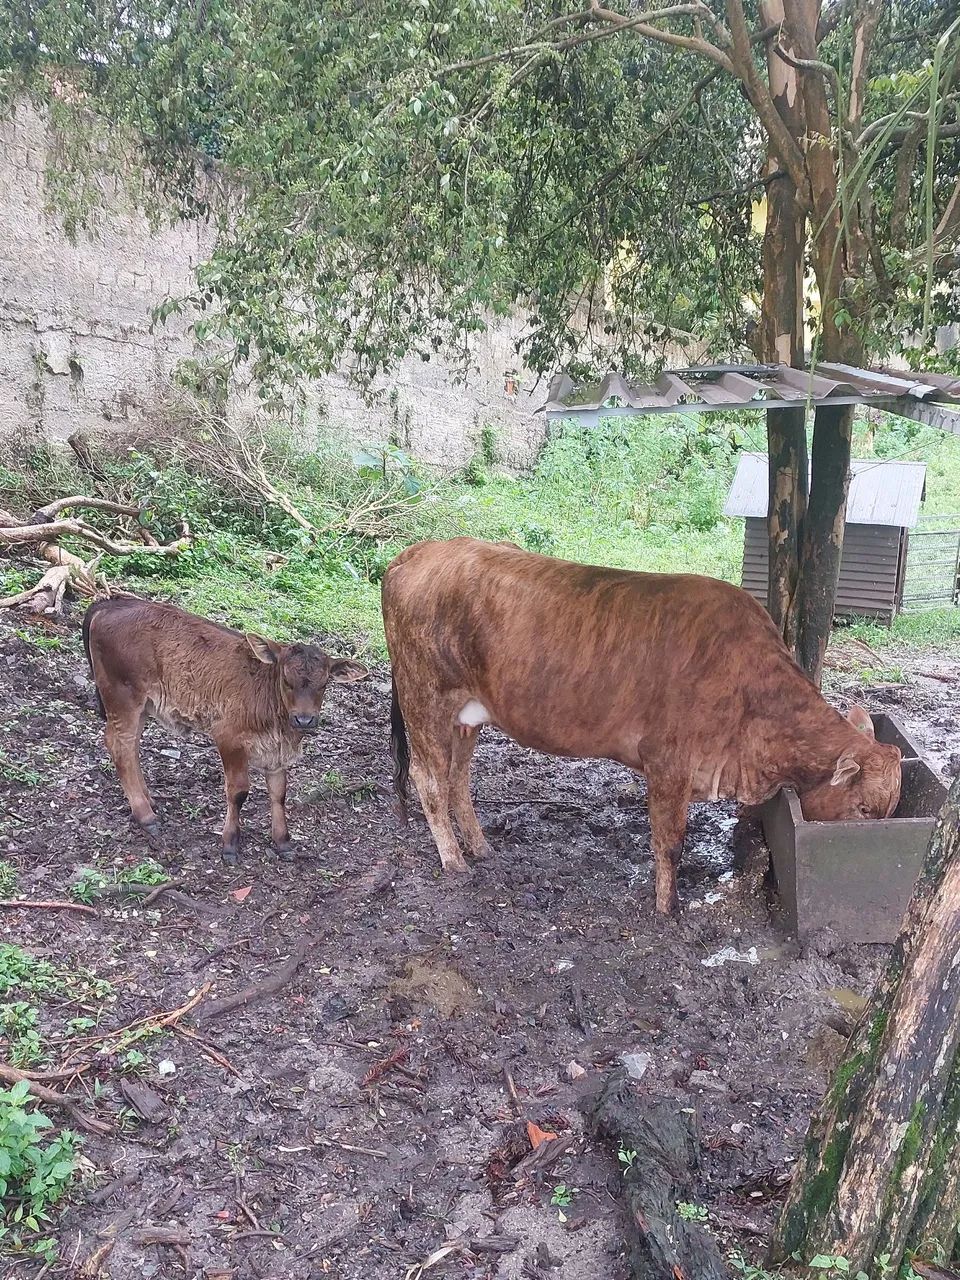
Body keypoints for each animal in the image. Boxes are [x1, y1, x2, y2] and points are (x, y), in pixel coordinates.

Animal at [82, 598, 367, 861]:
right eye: (286, 680)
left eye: (324, 684)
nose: (304, 720)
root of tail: (111, 603)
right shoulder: (228, 738)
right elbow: (238, 791)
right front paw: (230, 843)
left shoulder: (276, 751)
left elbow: (279, 793)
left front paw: (282, 841)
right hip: (123, 695)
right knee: (119, 745)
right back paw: (145, 814)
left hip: (142, 705)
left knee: (131, 746)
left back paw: (147, 799)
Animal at [381, 538, 902, 915]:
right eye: (863, 808)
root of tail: (416, 552)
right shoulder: (668, 763)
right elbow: (669, 844)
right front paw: (667, 909)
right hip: (424, 696)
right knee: (429, 778)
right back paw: (454, 862)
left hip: (466, 716)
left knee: (457, 778)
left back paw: (481, 848)